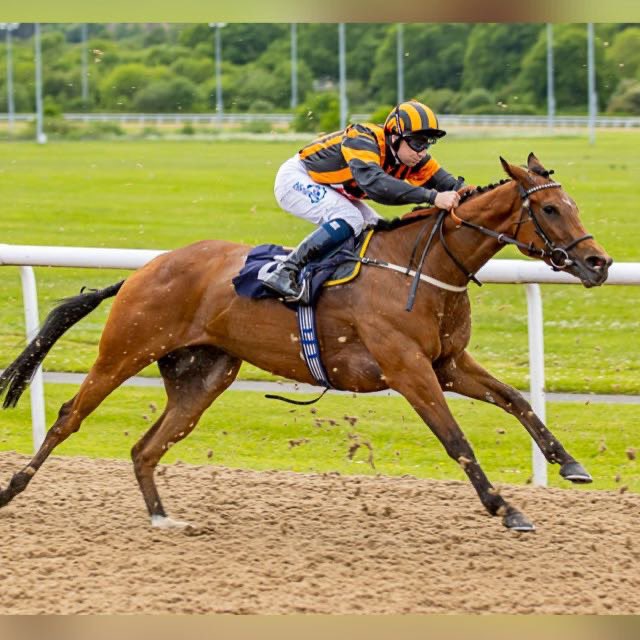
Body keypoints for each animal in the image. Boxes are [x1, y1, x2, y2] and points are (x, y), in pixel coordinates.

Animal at [0, 153, 611, 532]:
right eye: (550, 208)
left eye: (574, 205)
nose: (598, 263)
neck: (422, 266)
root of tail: (142, 271)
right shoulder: (409, 369)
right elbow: (455, 438)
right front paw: (505, 507)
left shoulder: (448, 363)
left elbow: (516, 400)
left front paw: (570, 464)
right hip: (124, 351)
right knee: (68, 417)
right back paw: (12, 490)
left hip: (203, 376)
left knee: (145, 448)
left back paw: (162, 517)